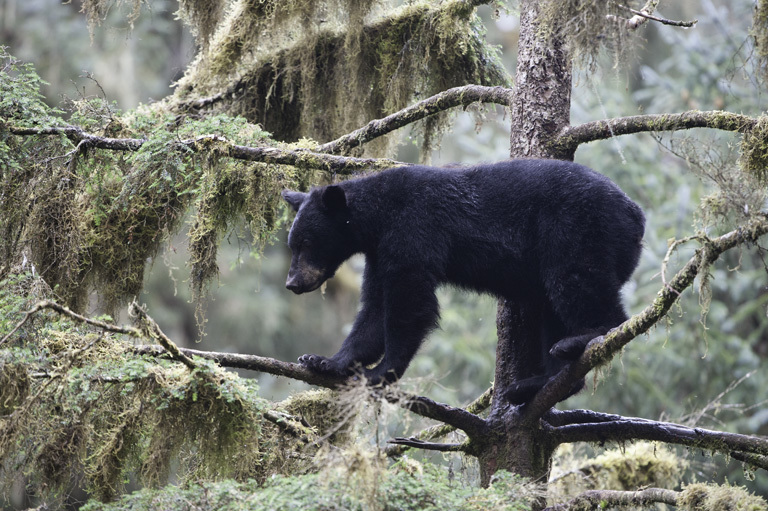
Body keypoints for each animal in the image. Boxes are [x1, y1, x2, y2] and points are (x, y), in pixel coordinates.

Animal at [282, 160, 640, 404]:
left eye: (307, 243)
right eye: (292, 243)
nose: (293, 283)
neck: (379, 215)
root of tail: (636, 215)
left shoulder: (413, 231)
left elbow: (410, 304)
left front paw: (380, 372)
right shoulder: (379, 252)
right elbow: (374, 308)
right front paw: (325, 361)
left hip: (576, 227)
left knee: (577, 281)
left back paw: (582, 338)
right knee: (552, 308)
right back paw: (533, 383)